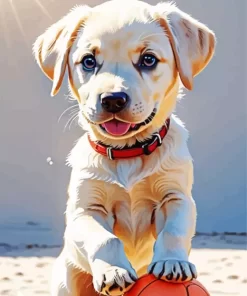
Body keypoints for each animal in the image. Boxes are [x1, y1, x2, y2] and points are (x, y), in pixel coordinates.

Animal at [33, 0, 215, 296]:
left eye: (148, 59)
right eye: (89, 61)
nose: (113, 100)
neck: (127, 152)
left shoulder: (176, 197)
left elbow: (174, 230)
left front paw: (173, 263)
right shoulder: (85, 209)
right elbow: (104, 239)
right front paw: (113, 271)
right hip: (65, 280)